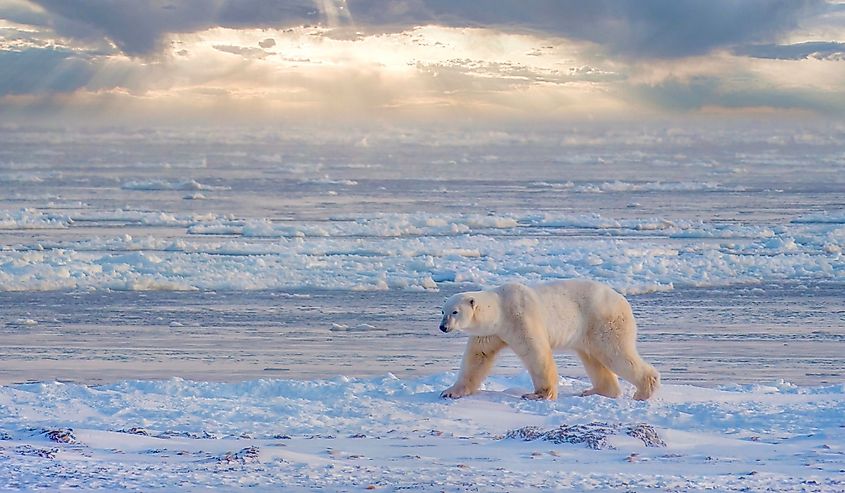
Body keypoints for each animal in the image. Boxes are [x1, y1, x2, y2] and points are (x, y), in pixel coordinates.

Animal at [442, 280, 660, 400]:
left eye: (455, 311)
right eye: (443, 311)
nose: (443, 327)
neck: (501, 308)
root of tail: (623, 300)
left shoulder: (521, 317)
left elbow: (536, 353)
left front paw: (538, 394)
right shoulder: (490, 332)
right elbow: (477, 357)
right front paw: (450, 391)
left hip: (603, 321)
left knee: (615, 353)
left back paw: (643, 391)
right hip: (588, 331)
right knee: (593, 358)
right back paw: (596, 391)